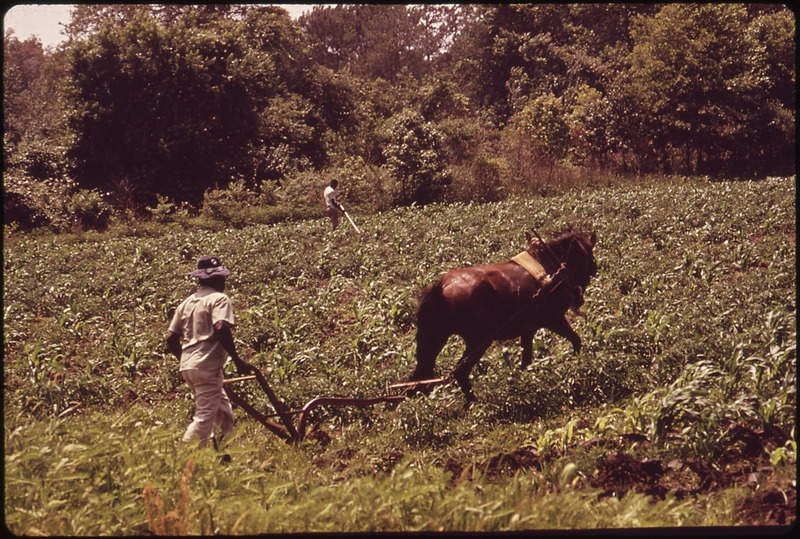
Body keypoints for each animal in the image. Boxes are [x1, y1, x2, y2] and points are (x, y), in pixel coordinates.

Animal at [412, 230, 592, 402]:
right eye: (589, 254)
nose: (579, 298)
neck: (551, 266)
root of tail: (441, 287)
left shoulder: (528, 329)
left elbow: (526, 362)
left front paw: (527, 385)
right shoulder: (554, 318)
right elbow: (576, 340)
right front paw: (577, 365)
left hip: (436, 337)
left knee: (422, 373)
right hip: (478, 341)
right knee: (460, 372)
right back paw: (474, 403)